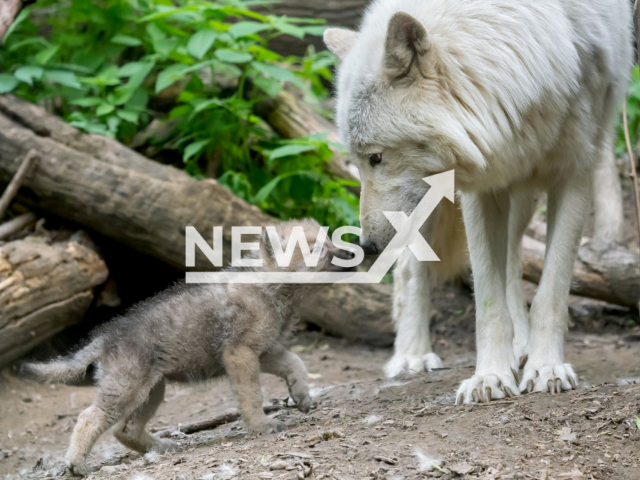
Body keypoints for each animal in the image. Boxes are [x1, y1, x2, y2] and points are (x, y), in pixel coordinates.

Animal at [328, 0, 632, 404]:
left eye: (376, 157)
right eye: (360, 161)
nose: (368, 244)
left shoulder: (576, 169)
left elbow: (550, 291)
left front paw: (546, 368)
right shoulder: (481, 184)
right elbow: (487, 299)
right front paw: (489, 377)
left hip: (522, 193)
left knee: (515, 261)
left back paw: (522, 344)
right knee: (411, 269)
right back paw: (412, 355)